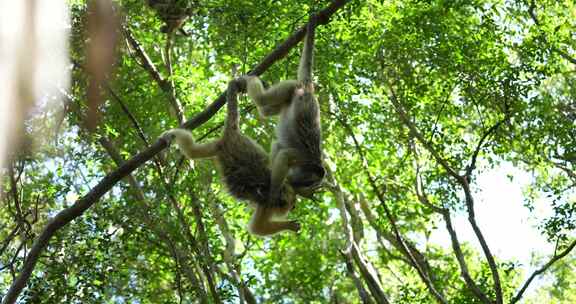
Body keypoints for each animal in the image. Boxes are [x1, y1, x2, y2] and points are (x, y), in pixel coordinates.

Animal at [160, 78, 300, 235]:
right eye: (292, 203)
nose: (294, 205)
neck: (280, 191)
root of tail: (230, 135)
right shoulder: (267, 205)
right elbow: (257, 228)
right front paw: (289, 225)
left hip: (217, 147)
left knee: (192, 150)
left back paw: (171, 135)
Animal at [241, 16, 326, 202]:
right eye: (309, 180)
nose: (305, 185)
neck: (314, 163)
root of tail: (308, 89)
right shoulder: (303, 158)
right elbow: (285, 155)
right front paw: (274, 191)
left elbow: (278, 146)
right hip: (292, 86)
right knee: (263, 99)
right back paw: (250, 79)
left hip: (290, 93)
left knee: (266, 110)